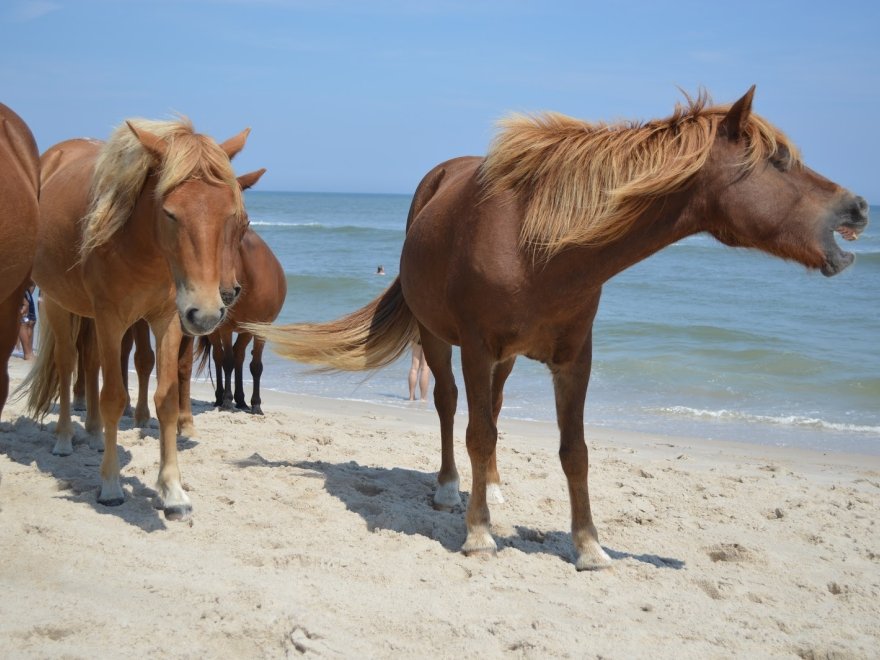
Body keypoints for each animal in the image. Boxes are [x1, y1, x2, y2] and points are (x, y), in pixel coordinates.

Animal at [24, 118, 264, 520]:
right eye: (170, 213)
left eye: (232, 215)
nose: (208, 312)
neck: (139, 247)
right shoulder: (111, 319)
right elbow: (113, 396)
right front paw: (110, 485)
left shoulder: (168, 320)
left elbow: (166, 399)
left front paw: (172, 490)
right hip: (56, 303)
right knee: (69, 363)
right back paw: (65, 439)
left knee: (89, 363)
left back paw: (93, 434)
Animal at [248, 87, 868, 568]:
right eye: (780, 161)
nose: (858, 207)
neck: (538, 244)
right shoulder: (476, 347)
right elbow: (475, 432)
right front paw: (479, 535)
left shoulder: (575, 358)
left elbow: (574, 450)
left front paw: (589, 546)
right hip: (438, 339)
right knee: (450, 408)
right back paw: (451, 490)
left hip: (506, 360)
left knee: (494, 410)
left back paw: (493, 487)